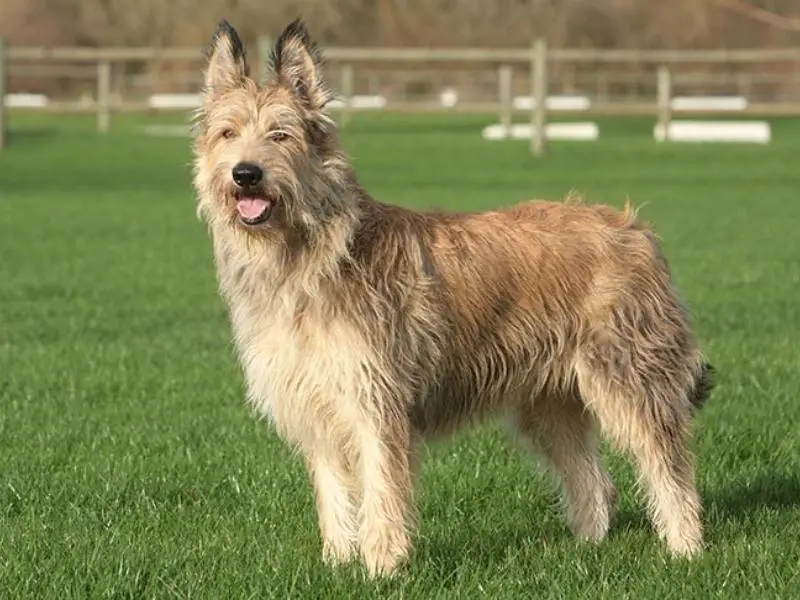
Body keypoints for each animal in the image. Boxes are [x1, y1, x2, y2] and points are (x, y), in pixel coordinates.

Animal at [194, 17, 720, 576]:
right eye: (228, 133)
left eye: (281, 134)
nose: (245, 173)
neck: (310, 254)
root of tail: (635, 229)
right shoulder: (317, 406)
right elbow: (335, 495)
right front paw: (337, 562)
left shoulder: (376, 401)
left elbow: (383, 489)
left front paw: (382, 567)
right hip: (549, 402)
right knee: (595, 481)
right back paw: (587, 547)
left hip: (631, 376)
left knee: (669, 466)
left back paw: (685, 548)